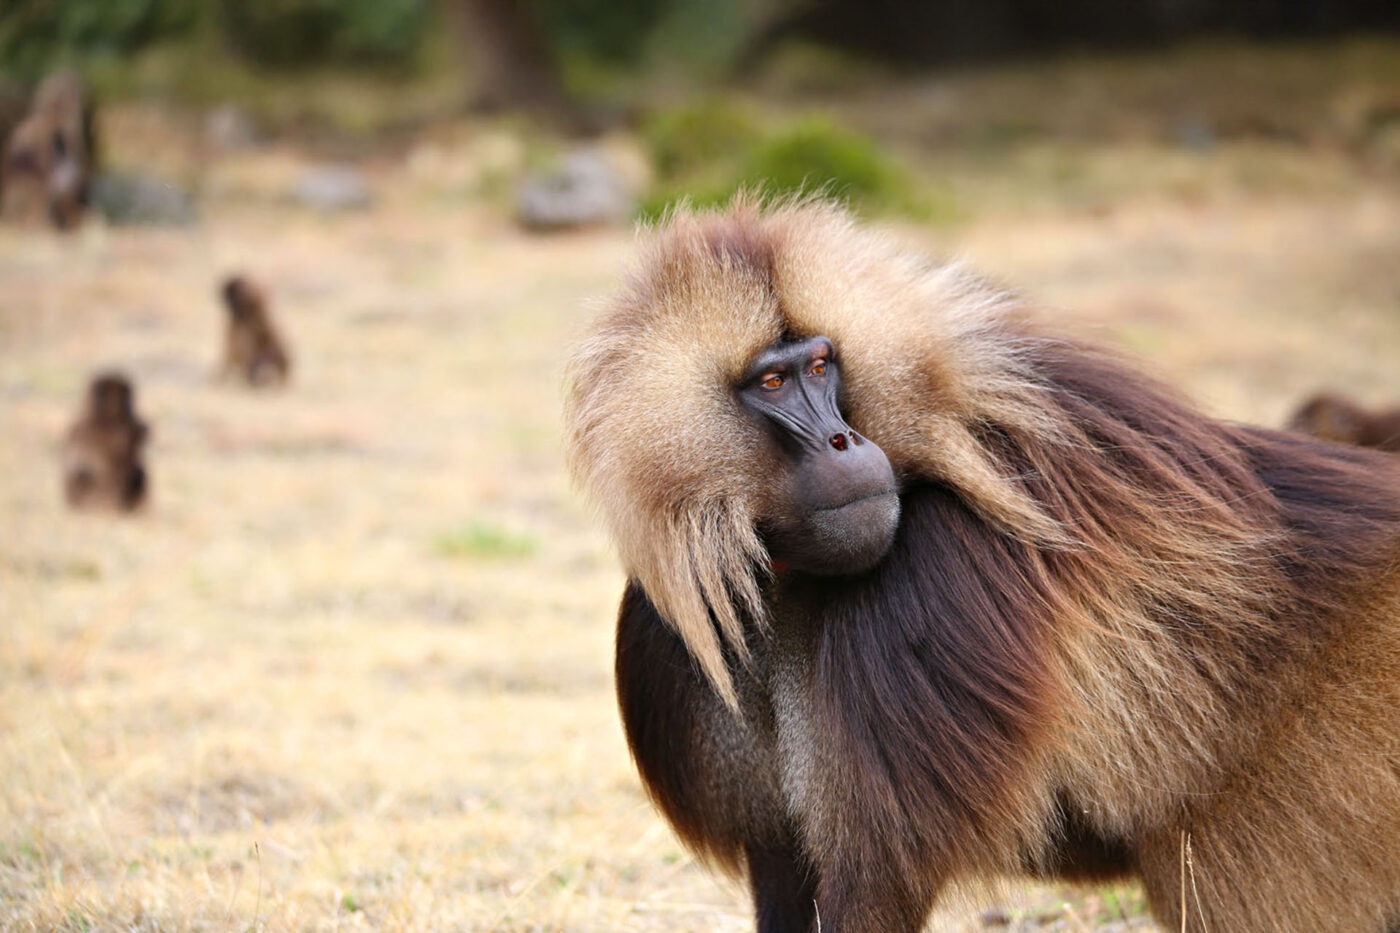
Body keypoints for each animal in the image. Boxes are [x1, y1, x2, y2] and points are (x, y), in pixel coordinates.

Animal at [564, 198, 1400, 933]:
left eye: (823, 365)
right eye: (772, 381)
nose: (842, 441)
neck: (793, 576)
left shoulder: (925, 593)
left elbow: (879, 884)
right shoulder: (680, 633)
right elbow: (784, 869)